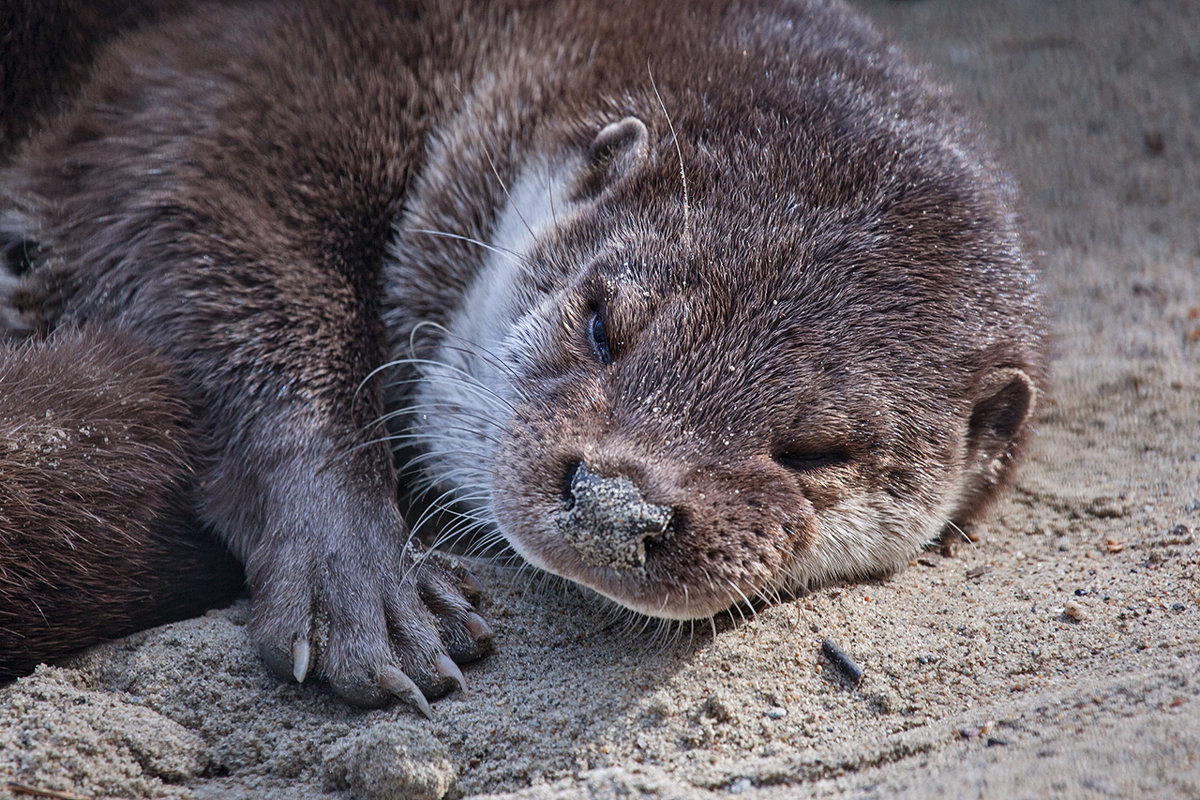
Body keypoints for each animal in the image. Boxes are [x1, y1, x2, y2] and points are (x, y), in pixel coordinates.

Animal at [0, 0, 1041, 714]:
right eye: (602, 324)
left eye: (817, 449)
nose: (619, 504)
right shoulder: (224, 85)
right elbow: (192, 222)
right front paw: (358, 574)